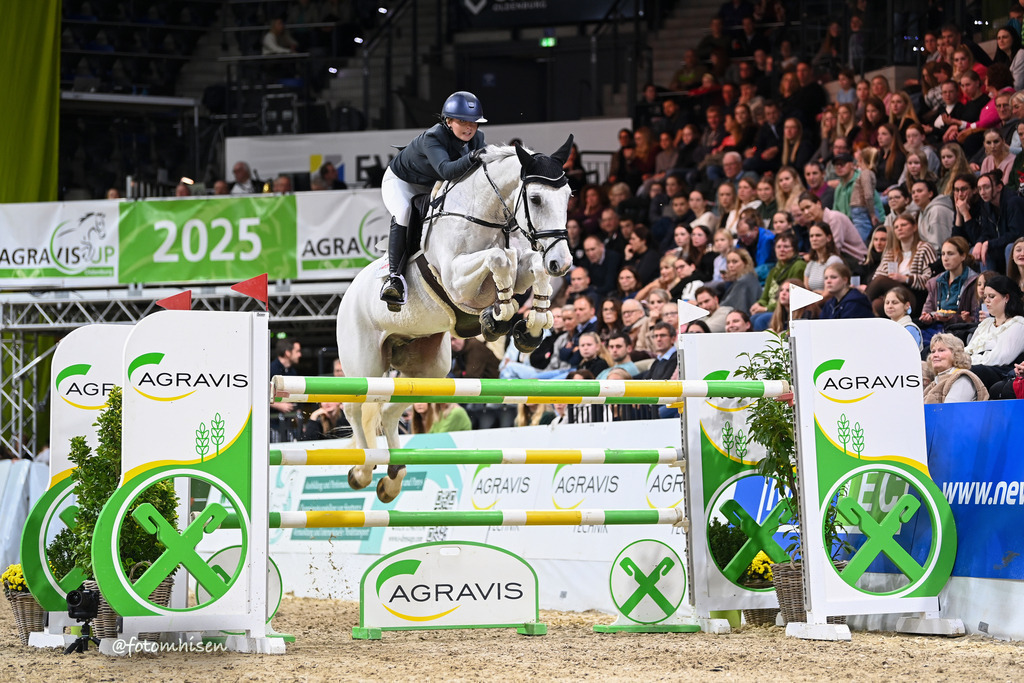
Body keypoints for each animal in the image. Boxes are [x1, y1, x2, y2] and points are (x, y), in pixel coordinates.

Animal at [336, 136, 575, 503]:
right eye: (535, 198)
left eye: (568, 197)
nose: (561, 263)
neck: (485, 213)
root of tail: (346, 295)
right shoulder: (456, 279)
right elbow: (500, 258)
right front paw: (499, 318)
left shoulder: (519, 267)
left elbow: (528, 264)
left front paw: (528, 328)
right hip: (365, 364)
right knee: (356, 407)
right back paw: (362, 470)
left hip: (429, 369)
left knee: (389, 411)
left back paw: (393, 478)